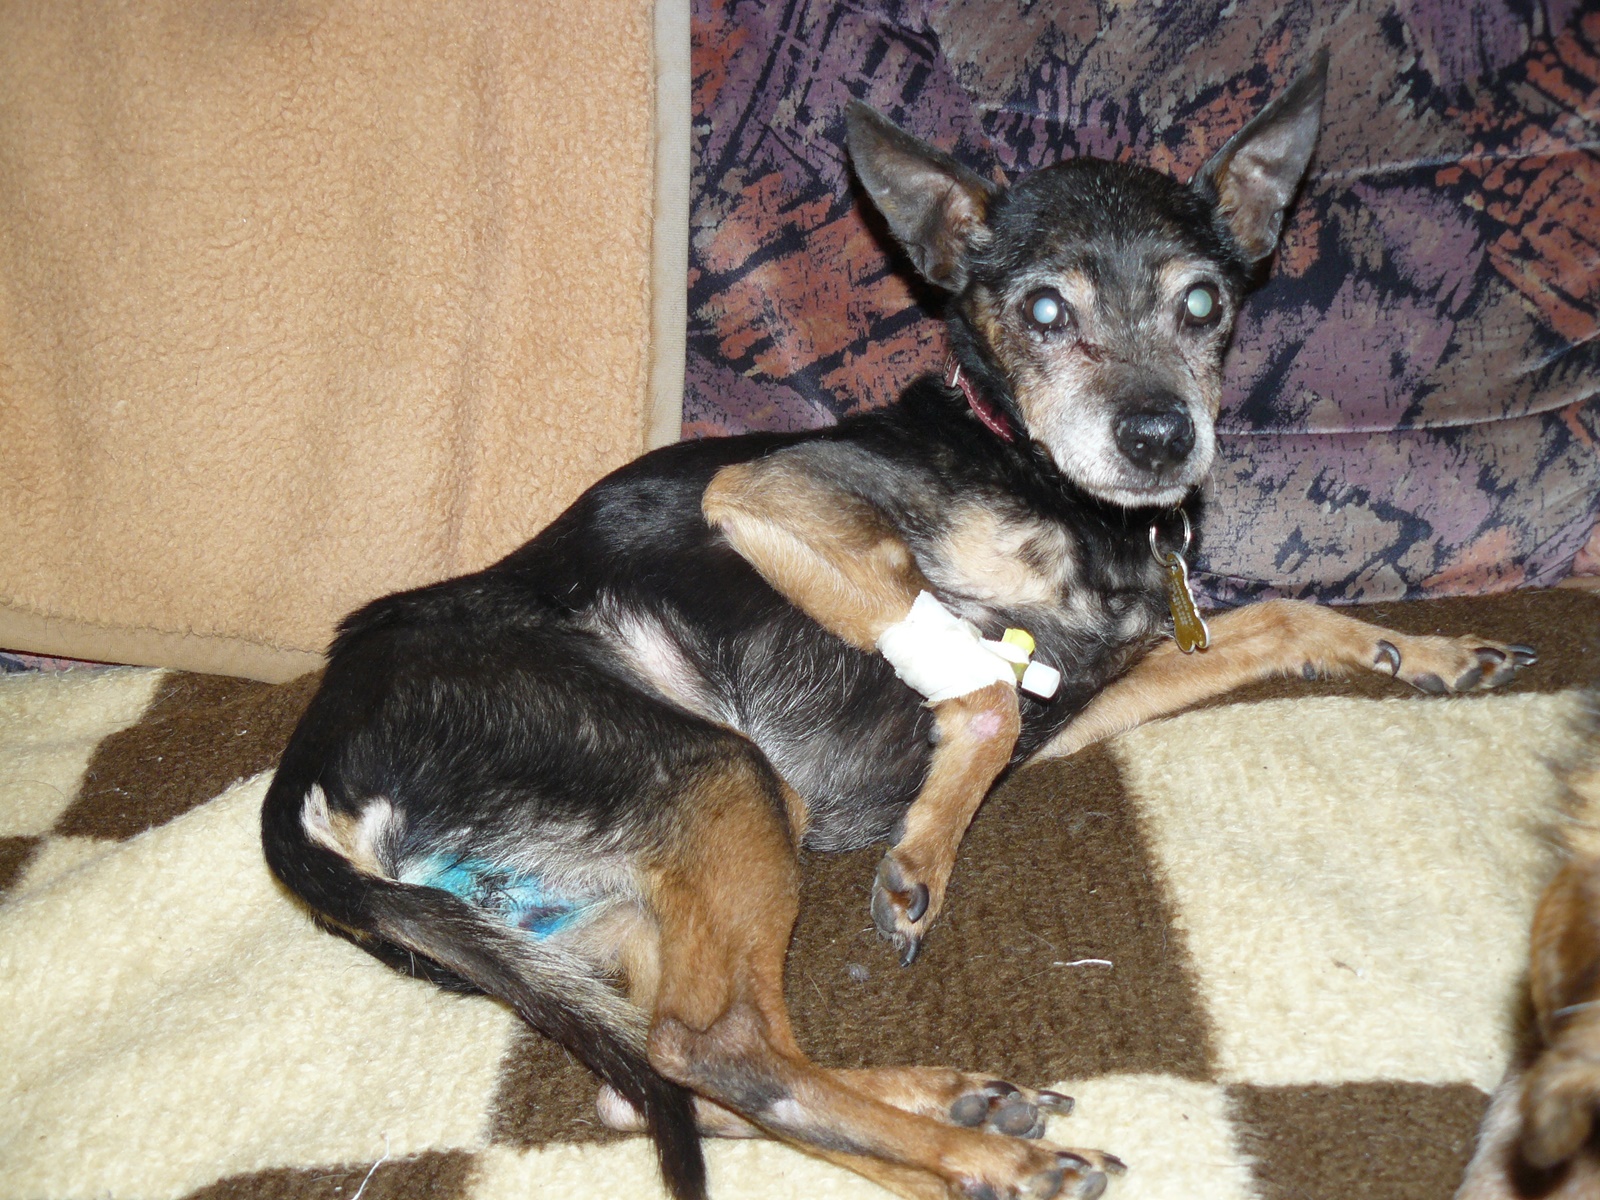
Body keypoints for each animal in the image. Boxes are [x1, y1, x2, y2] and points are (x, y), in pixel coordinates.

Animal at [262, 50, 1534, 1200]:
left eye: (1204, 302)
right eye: (1043, 309)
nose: (1160, 438)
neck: (1046, 483)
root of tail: (310, 769)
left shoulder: (1090, 692)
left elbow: (1272, 615)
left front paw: (1423, 652)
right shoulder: (774, 497)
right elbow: (977, 686)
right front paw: (922, 852)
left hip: (608, 906)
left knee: (658, 1078)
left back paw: (952, 1108)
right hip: (713, 769)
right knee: (713, 1049)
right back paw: (991, 1159)